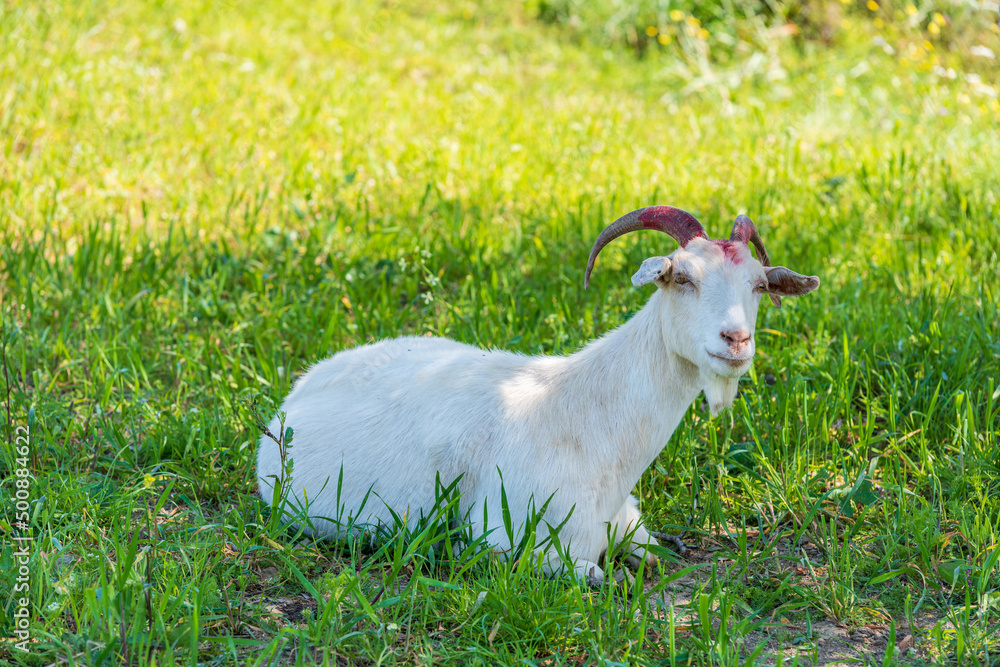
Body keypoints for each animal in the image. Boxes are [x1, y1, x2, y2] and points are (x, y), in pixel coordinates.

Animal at [257, 206, 820, 585]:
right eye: (682, 276)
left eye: (758, 286)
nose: (736, 340)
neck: (586, 421)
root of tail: (299, 390)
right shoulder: (504, 536)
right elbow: (596, 574)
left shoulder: (627, 520)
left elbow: (652, 553)